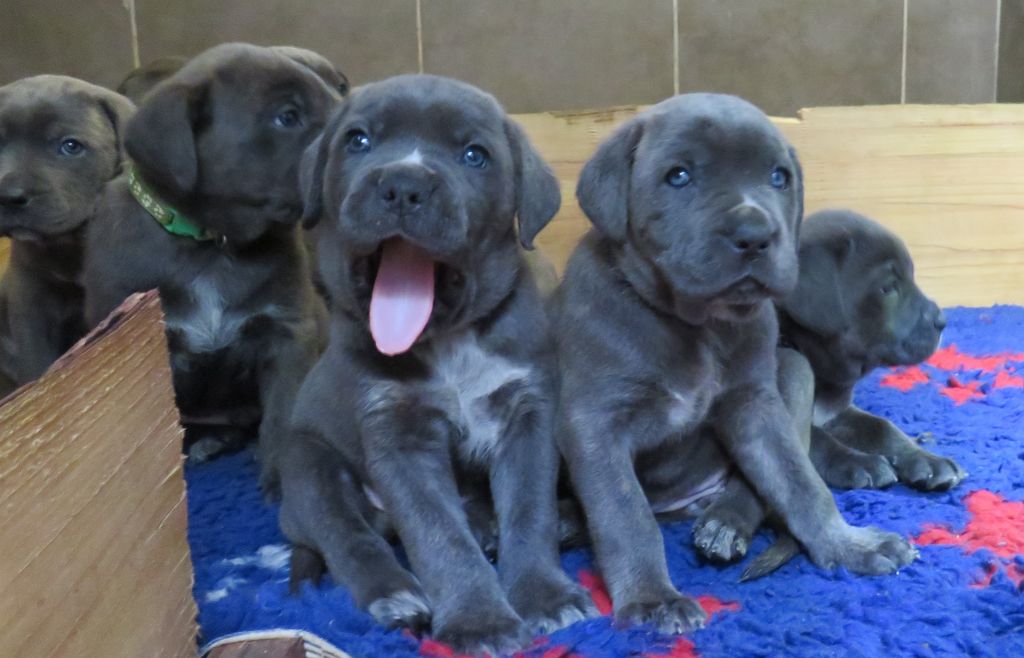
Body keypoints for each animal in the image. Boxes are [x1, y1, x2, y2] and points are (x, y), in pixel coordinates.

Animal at [276, 75, 598, 654]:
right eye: (358, 141)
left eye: (474, 155)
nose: (403, 185)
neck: (450, 343)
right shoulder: (399, 438)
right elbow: (438, 535)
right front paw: (479, 621)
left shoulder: (527, 417)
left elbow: (529, 512)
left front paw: (544, 596)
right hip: (308, 466)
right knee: (348, 538)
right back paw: (396, 596)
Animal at [557, 92, 917, 634]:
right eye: (679, 176)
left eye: (778, 177)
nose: (754, 233)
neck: (695, 325)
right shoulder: (594, 426)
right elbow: (626, 516)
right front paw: (651, 598)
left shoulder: (755, 405)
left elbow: (799, 483)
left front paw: (846, 544)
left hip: (792, 371)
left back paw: (724, 523)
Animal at [778, 208, 962, 491]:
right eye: (887, 288)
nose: (942, 321)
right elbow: (816, 439)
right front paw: (857, 462)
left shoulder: (839, 413)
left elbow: (881, 427)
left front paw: (926, 460)